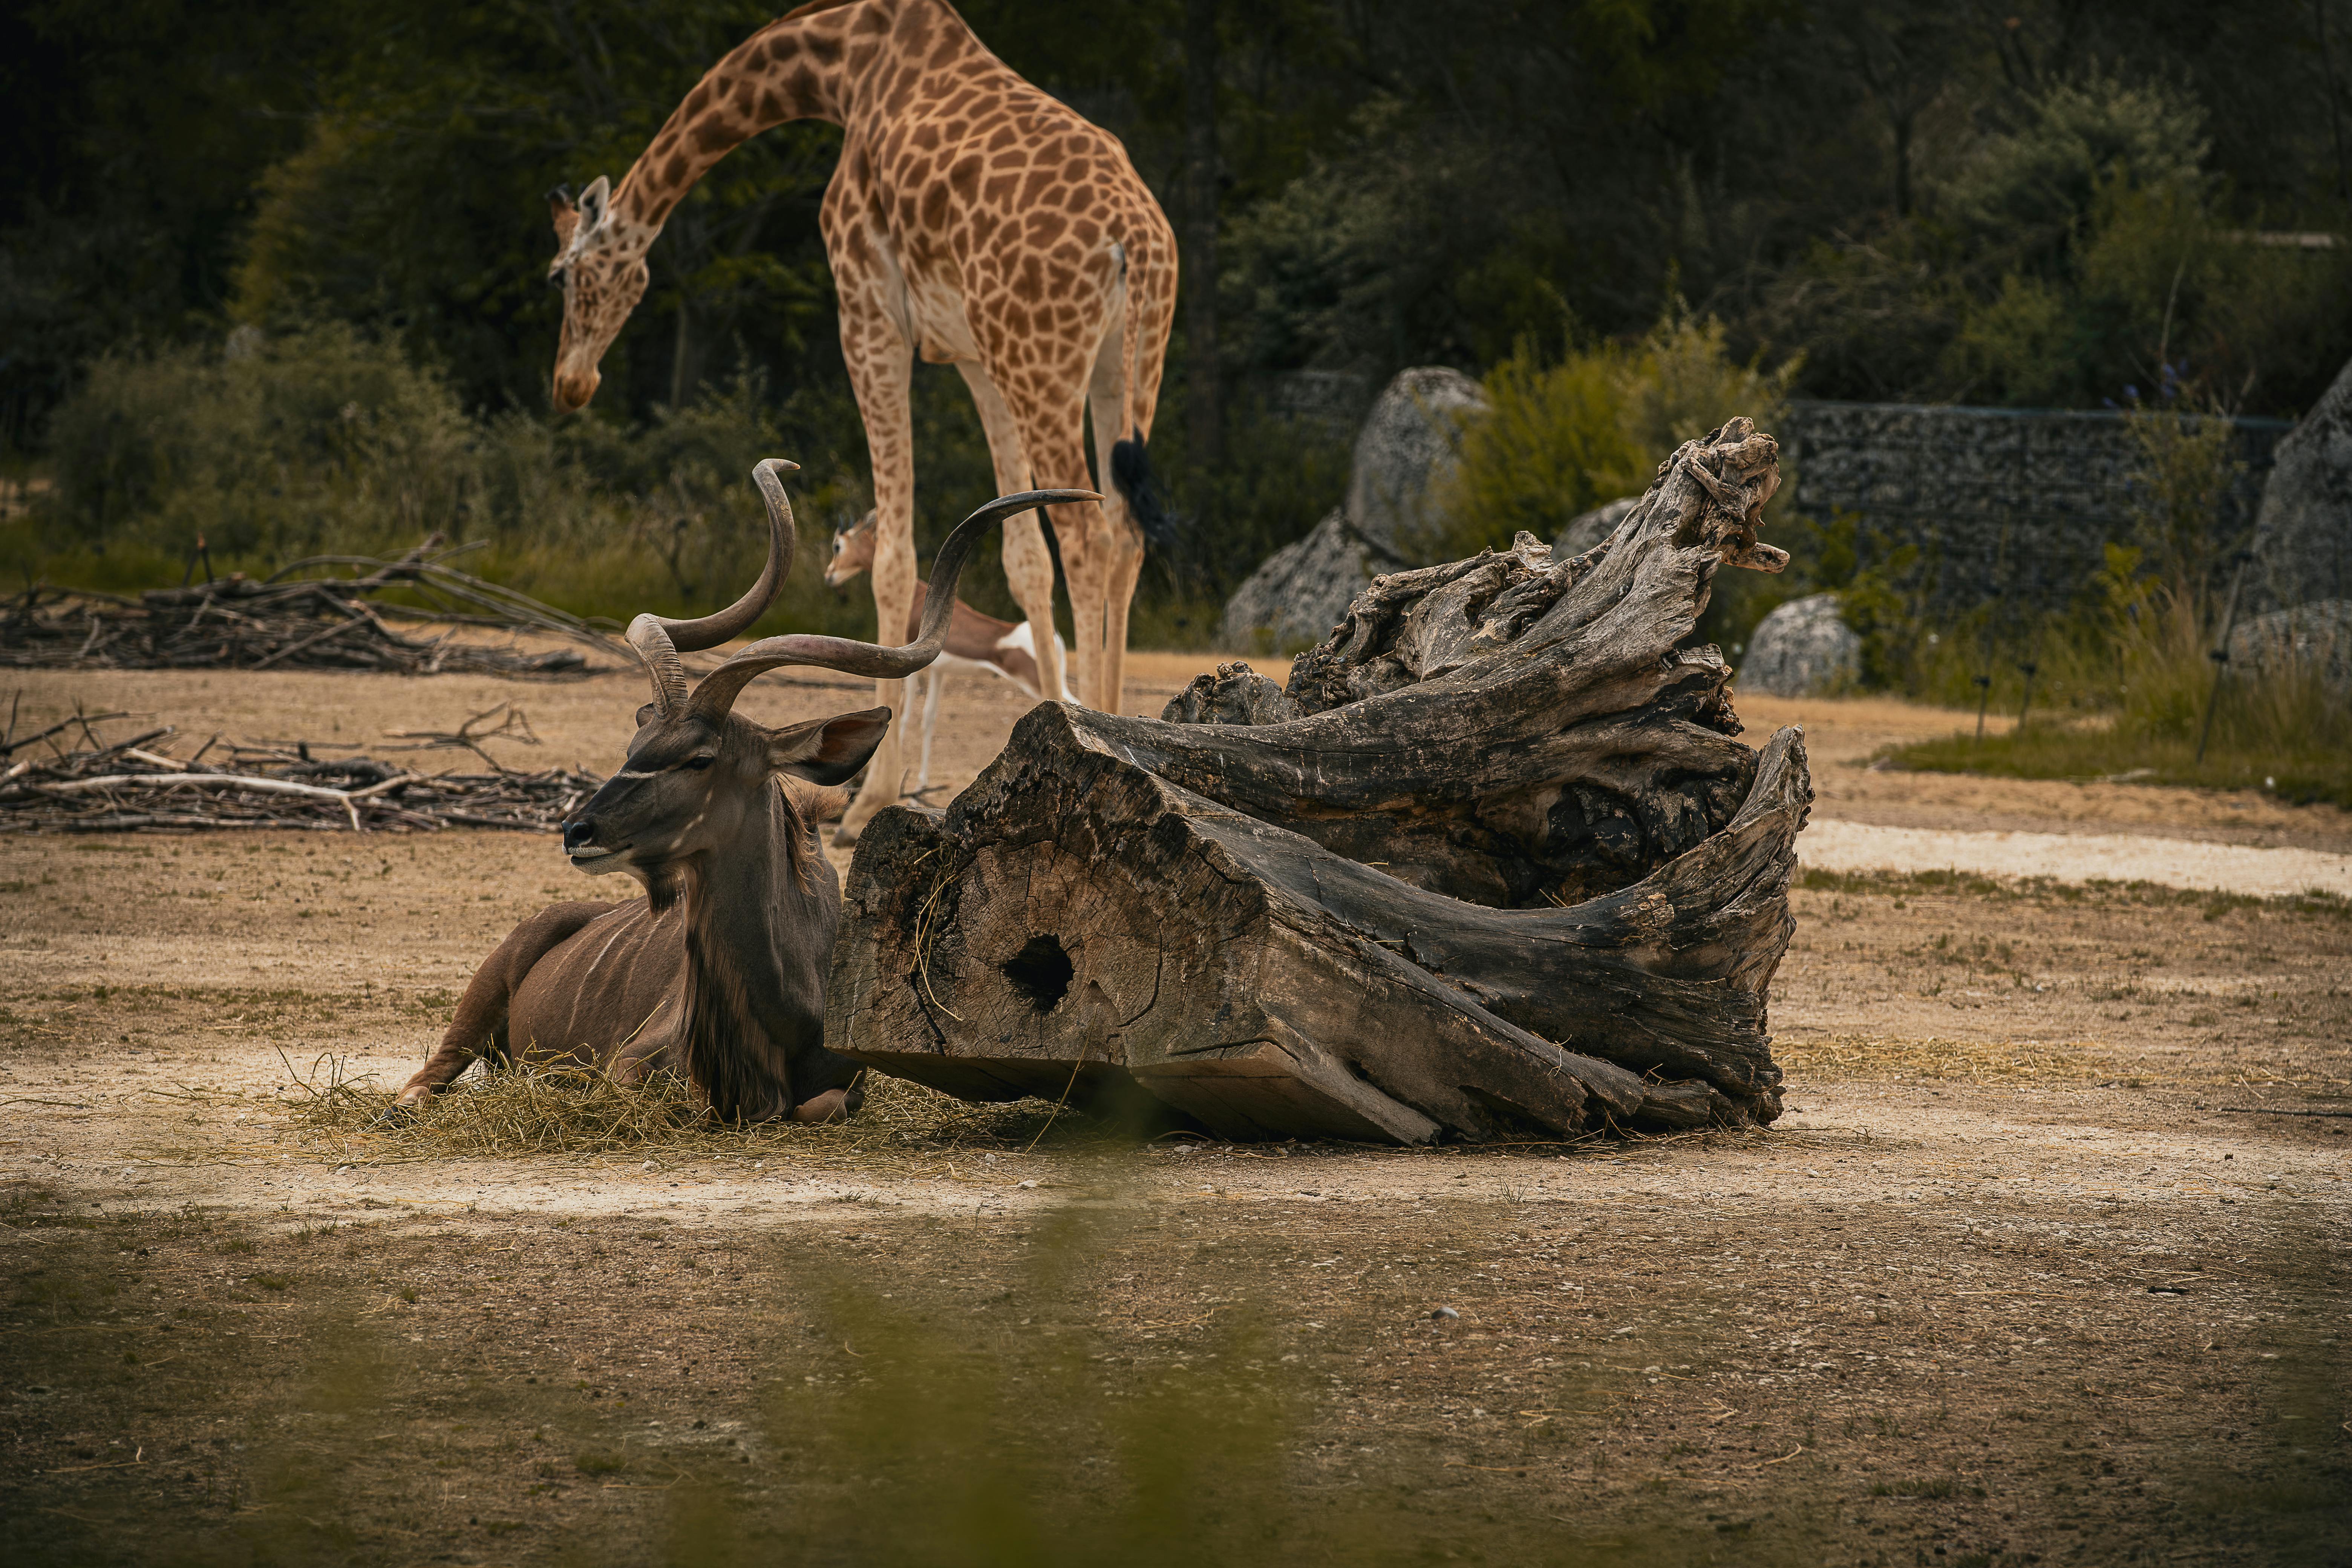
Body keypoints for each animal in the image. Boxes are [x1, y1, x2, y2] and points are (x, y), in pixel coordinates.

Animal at [544, 0, 1176, 843]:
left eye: (565, 275)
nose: (571, 383)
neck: (839, 64)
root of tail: (1135, 241)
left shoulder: (868, 307)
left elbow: (898, 558)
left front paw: (869, 799)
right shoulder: (971, 353)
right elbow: (1019, 555)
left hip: (1042, 356)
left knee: (1090, 534)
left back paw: (1108, 731)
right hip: (1124, 367)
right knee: (1125, 535)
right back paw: (1126, 733)